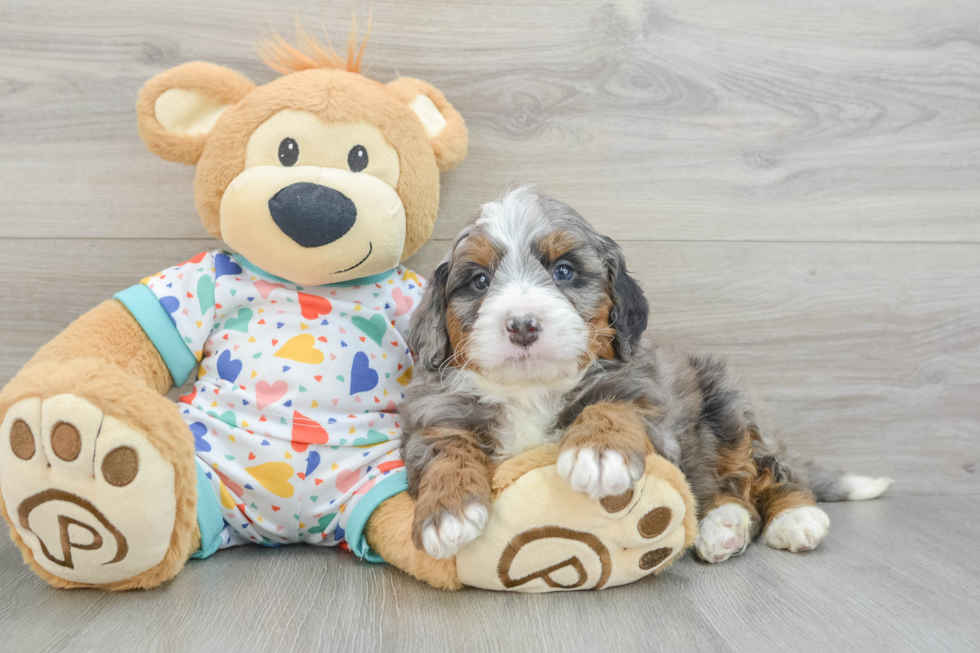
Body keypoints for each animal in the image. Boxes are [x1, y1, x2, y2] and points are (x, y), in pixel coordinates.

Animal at [402, 187, 892, 560]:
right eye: (480, 281)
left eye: (564, 271)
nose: (523, 324)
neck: (533, 390)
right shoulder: (435, 417)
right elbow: (446, 451)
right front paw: (447, 513)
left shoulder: (647, 398)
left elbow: (614, 404)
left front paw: (598, 454)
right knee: (728, 491)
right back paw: (722, 527)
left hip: (731, 406)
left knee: (766, 470)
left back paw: (793, 516)